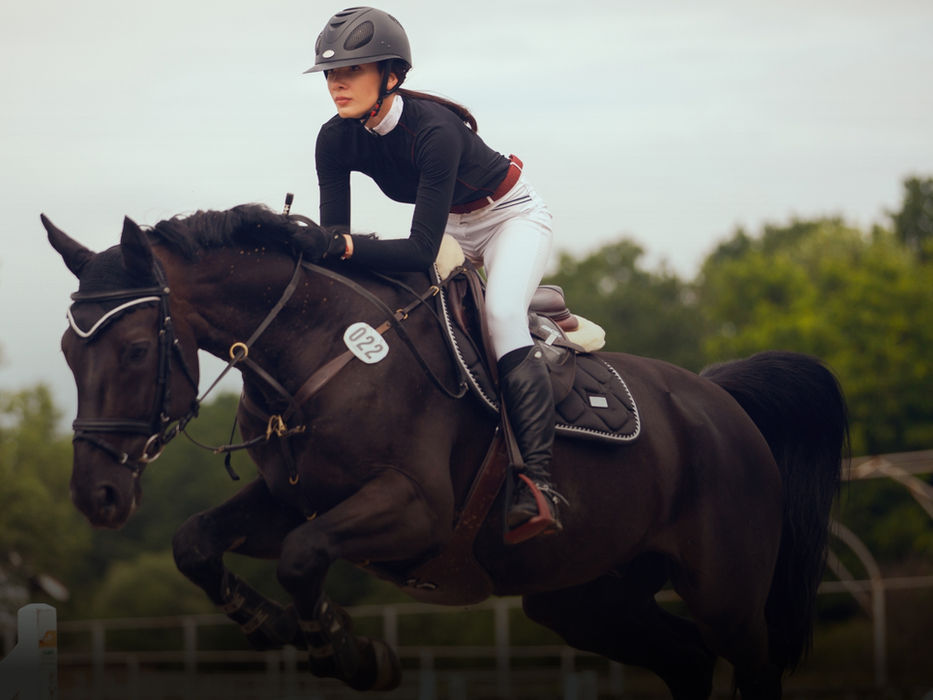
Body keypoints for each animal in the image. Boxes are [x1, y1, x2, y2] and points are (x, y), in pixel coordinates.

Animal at [43, 204, 847, 699]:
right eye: (67, 353)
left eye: (137, 348)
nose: (96, 496)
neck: (316, 352)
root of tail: (718, 400)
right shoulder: (289, 499)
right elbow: (195, 544)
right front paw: (278, 627)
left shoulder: (413, 511)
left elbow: (302, 556)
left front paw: (350, 652)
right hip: (585, 598)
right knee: (685, 661)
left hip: (727, 594)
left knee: (747, 663)